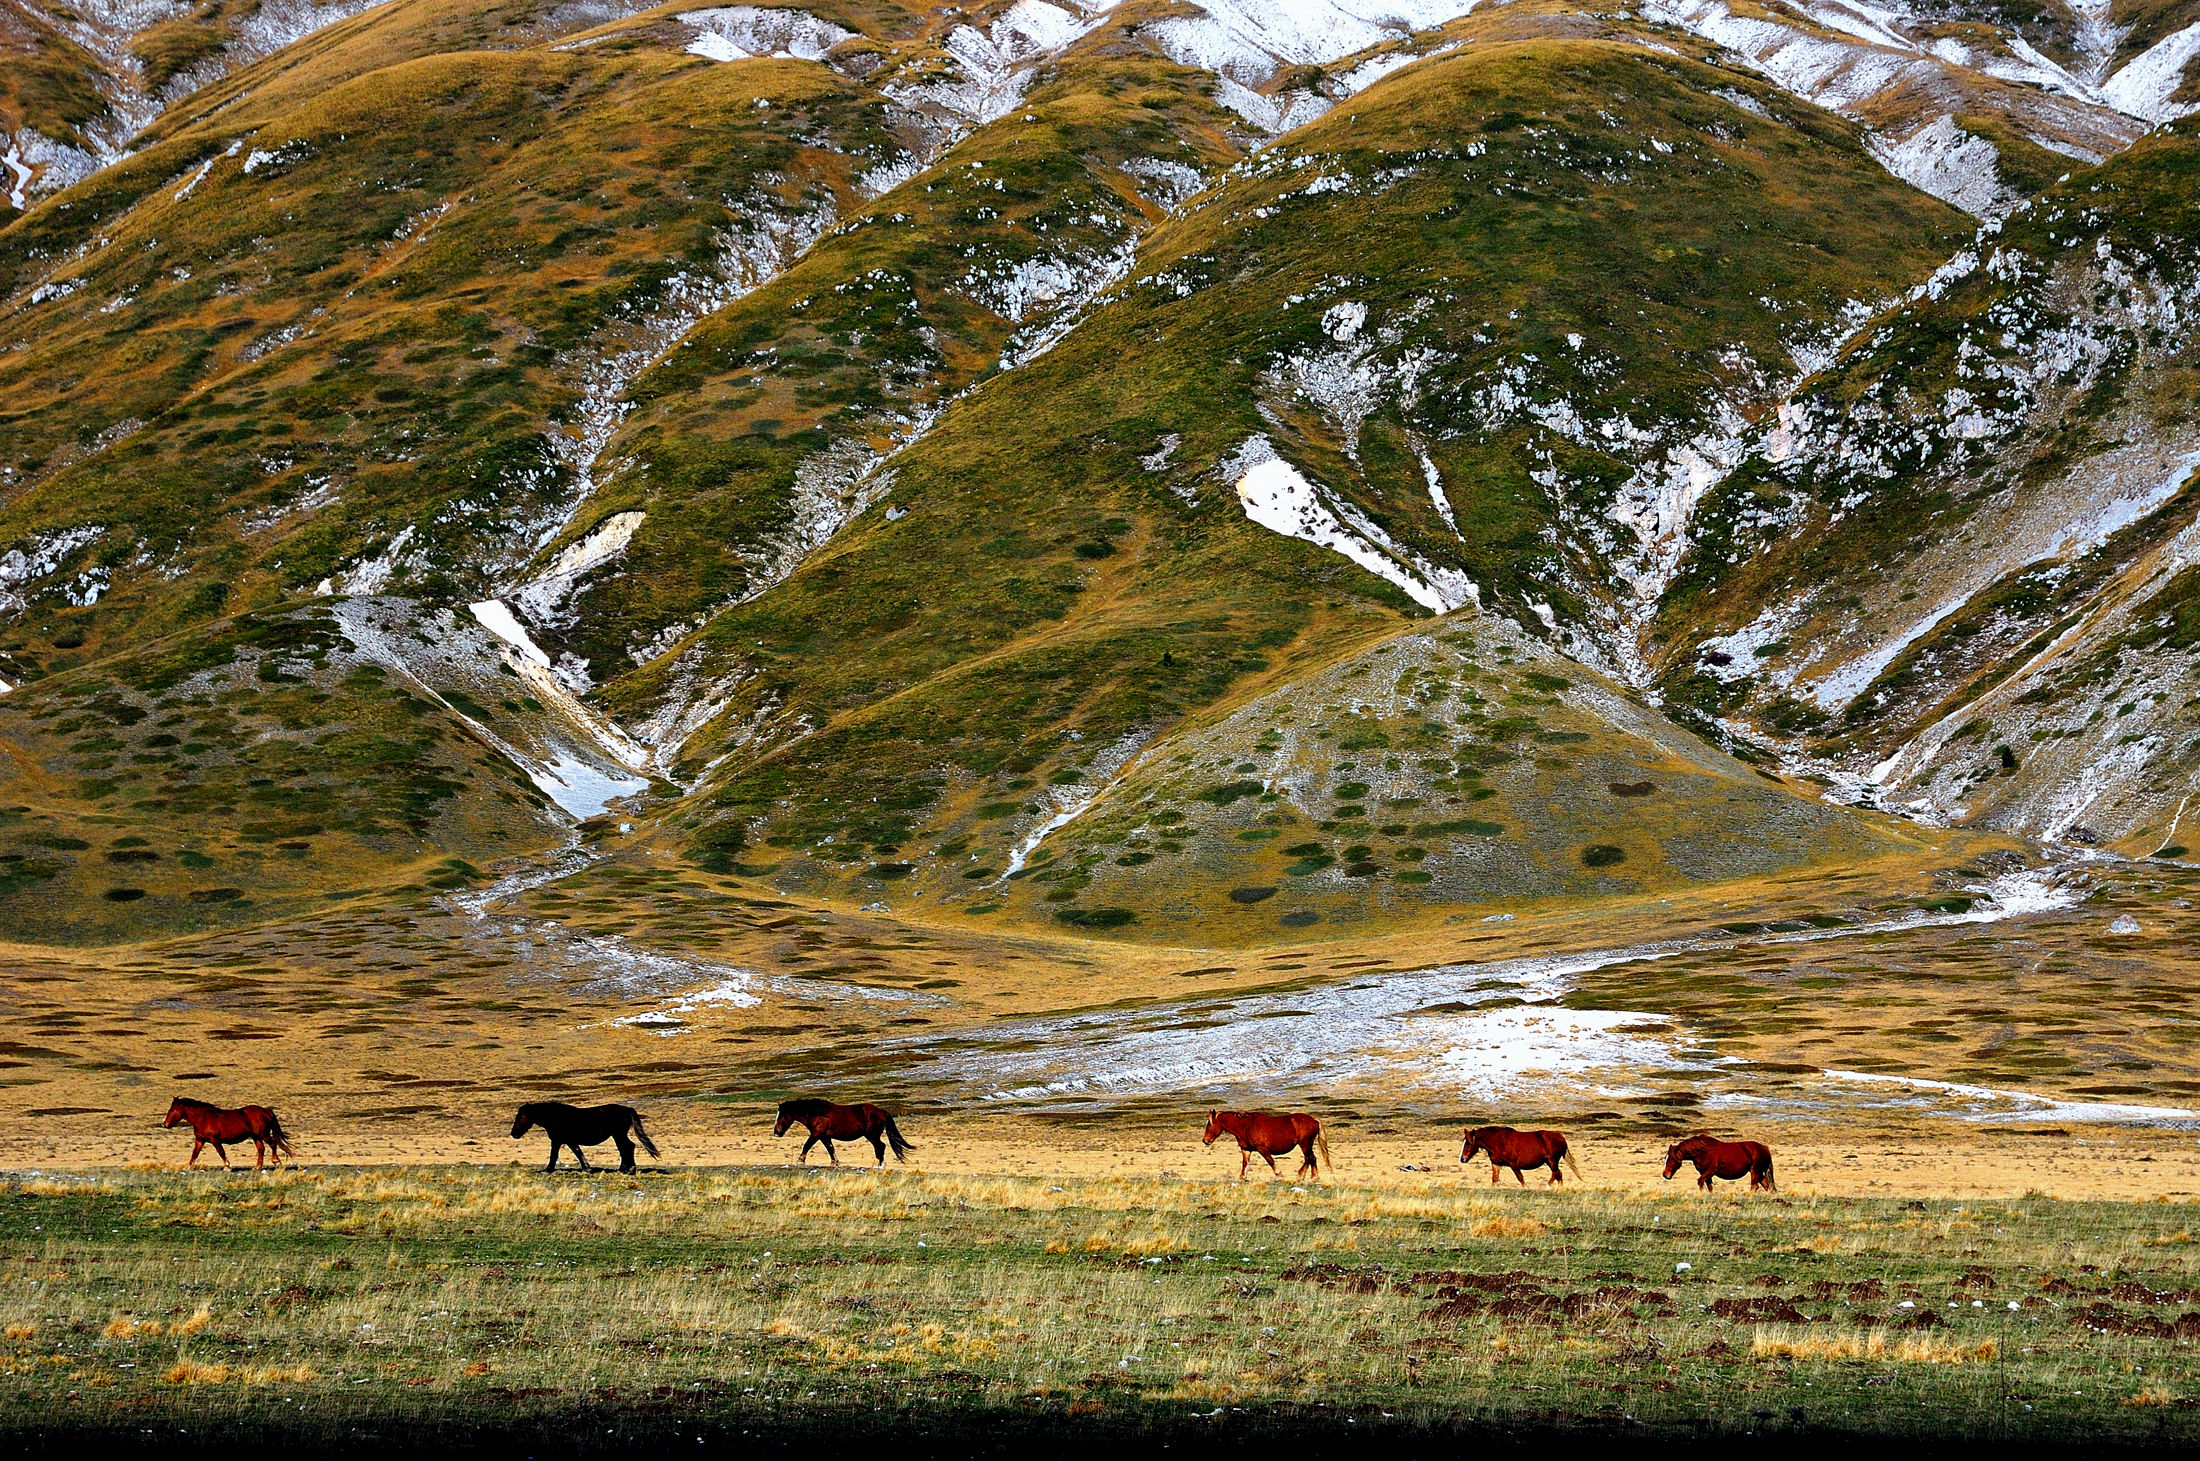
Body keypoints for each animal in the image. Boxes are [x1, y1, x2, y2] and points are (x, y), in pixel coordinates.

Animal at [163, 1097, 293, 1170]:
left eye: (172, 1109)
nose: (164, 1124)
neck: (203, 1118)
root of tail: (266, 1110)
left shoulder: (215, 1140)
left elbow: (221, 1152)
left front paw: (227, 1166)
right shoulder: (200, 1140)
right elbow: (194, 1154)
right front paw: (188, 1167)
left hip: (263, 1135)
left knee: (273, 1144)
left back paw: (276, 1161)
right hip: (255, 1137)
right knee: (261, 1149)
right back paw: (257, 1167)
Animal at [510, 1102, 659, 1173]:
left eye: (521, 1117)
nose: (513, 1134)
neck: (554, 1117)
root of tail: (627, 1109)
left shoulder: (557, 1141)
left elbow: (554, 1155)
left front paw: (547, 1170)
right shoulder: (569, 1141)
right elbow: (578, 1153)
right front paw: (587, 1168)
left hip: (618, 1134)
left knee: (627, 1147)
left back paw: (627, 1169)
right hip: (618, 1135)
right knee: (627, 1147)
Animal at [773, 1099, 914, 1166]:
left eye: (782, 1116)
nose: (776, 1132)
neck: (817, 1113)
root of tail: (881, 1111)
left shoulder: (816, 1134)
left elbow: (806, 1145)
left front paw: (799, 1161)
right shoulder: (824, 1137)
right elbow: (831, 1149)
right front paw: (835, 1162)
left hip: (872, 1135)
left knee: (880, 1147)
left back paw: (877, 1164)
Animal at [1202, 1109, 1330, 1181]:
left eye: (1209, 1124)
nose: (1205, 1140)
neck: (1245, 1126)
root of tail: (1314, 1120)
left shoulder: (1262, 1148)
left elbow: (1270, 1161)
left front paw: (1279, 1175)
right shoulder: (1246, 1149)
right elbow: (1245, 1163)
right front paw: (1242, 1177)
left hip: (1305, 1144)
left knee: (1310, 1158)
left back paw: (1306, 1176)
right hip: (1306, 1145)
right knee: (1311, 1158)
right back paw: (1310, 1177)